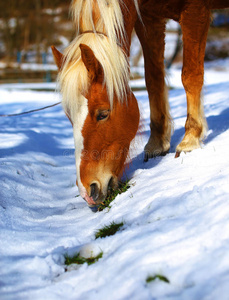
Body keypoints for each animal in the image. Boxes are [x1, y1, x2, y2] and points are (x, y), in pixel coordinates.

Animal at [52, 0, 229, 207]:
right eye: (69, 117)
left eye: (102, 114)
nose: (87, 191)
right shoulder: (149, 19)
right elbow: (153, 78)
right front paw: (157, 143)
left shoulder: (195, 10)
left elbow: (191, 75)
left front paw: (190, 139)